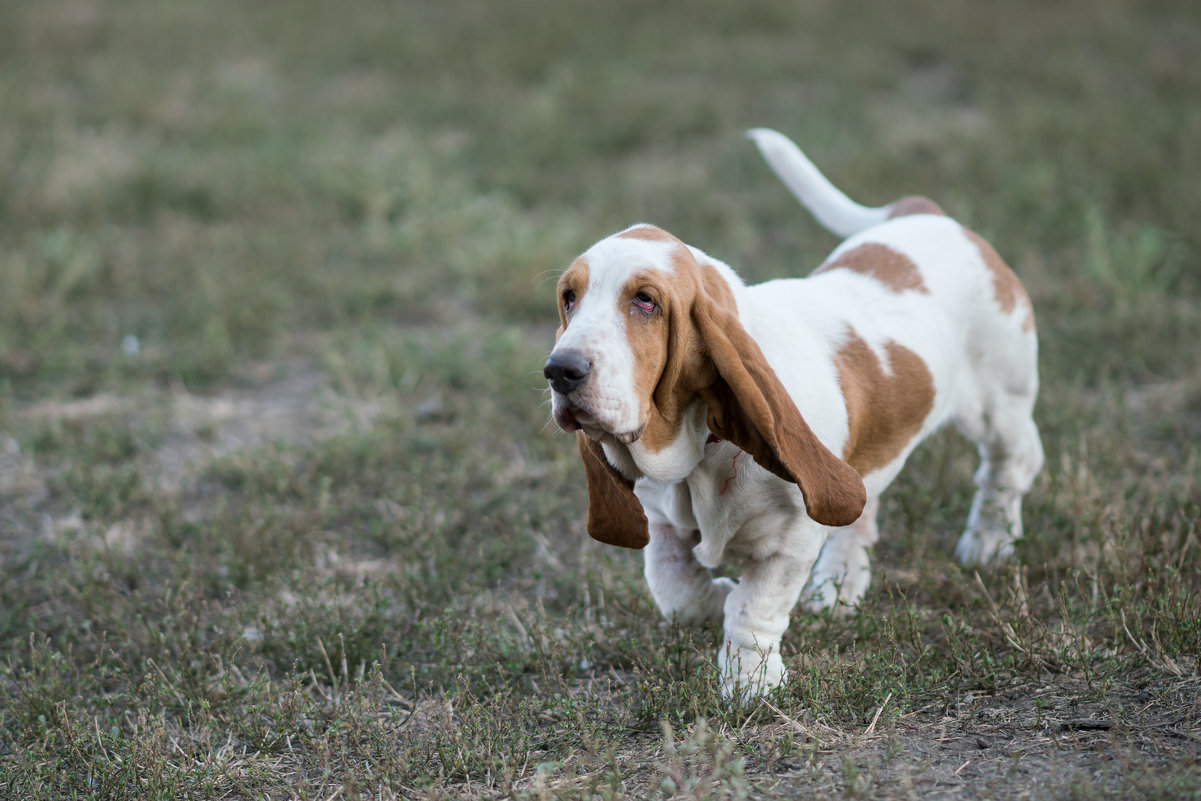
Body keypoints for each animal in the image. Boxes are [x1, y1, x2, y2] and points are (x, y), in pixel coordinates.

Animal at [545, 128, 1042, 696]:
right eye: (569, 298)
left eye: (646, 301)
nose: (559, 370)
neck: (699, 449)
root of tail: (931, 215)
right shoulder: (661, 522)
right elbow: (676, 592)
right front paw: (716, 600)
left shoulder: (789, 543)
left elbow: (754, 608)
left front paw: (750, 684)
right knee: (862, 513)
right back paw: (839, 589)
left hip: (1000, 402)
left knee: (1010, 466)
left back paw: (989, 543)